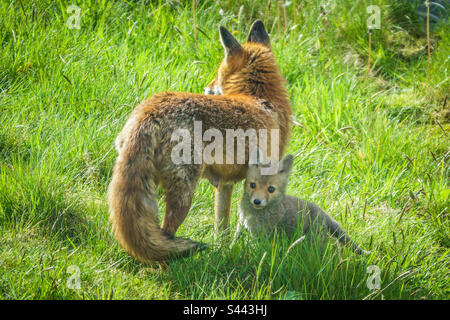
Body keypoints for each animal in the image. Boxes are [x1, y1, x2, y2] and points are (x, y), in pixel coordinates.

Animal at [108, 20, 292, 262]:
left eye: (217, 72)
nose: (206, 87)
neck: (261, 98)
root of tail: (151, 111)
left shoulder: (224, 183)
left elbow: (222, 226)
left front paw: (225, 250)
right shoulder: (255, 179)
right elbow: (245, 218)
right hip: (184, 193)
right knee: (166, 232)